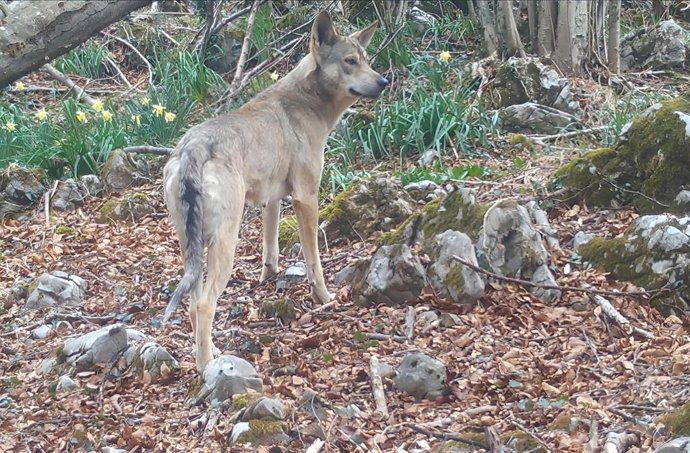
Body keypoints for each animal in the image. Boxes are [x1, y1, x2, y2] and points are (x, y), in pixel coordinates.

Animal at [162, 11, 388, 373]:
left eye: (366, 60)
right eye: (350, 61)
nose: (384, 82)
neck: (306, 101)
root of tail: (191, 148)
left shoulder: (273, 199)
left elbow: (271, 249)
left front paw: (268, 277)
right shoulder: (306, 198)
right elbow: (314, 262)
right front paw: (325, 299)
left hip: (191, 248)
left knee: (193, 303)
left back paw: (207, 350)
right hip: (225, 244)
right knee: (204, 305)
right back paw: (207, 365)